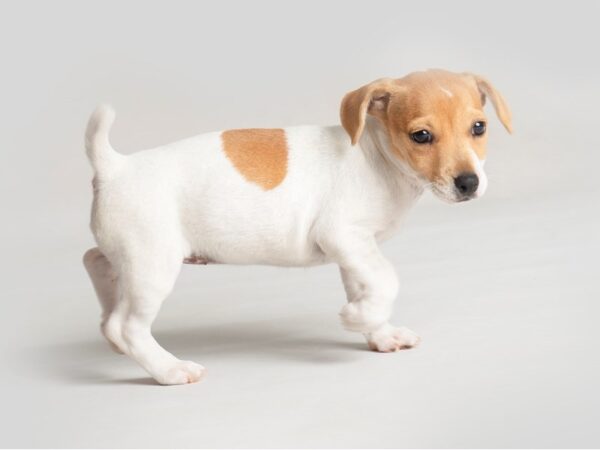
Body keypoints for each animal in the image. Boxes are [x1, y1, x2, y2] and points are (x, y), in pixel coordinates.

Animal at [83, 69, 510, 384]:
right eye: (421, 136)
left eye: (478, 128)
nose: (469, 183)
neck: (374, 157)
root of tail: (116, 166)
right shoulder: (343, 235)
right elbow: (387, 279)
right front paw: (356, 317)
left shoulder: (355, 250)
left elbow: (368, 285)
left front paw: (378, 331)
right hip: (153, 265)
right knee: (128, 326)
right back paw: (169, 368)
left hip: (131, 256)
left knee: (95, 262)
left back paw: (107, 310)